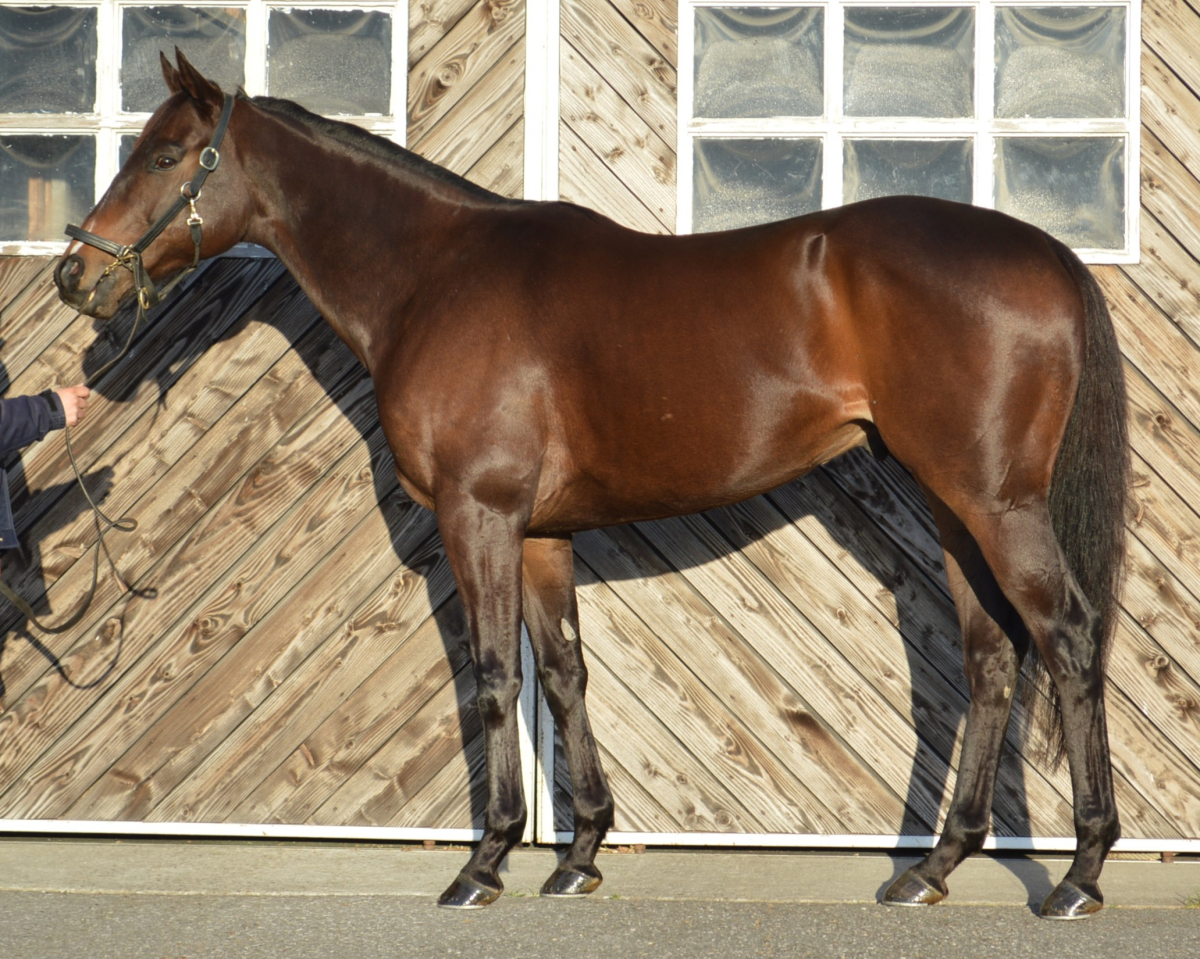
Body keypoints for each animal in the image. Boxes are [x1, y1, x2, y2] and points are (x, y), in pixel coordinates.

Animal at [55, 51, 1128, 918]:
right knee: (992, 658)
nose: (73, 275)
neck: (436, 277)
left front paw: (484, 863)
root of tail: (1046, 250)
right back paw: (932, 867)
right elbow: (565, 672)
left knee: (1069, 638)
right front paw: (576, 855)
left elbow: (494, 676)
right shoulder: (540, 533)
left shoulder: (478, 515)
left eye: (165, 156)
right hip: (954, 505)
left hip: (997, 505)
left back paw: (1079, 874)